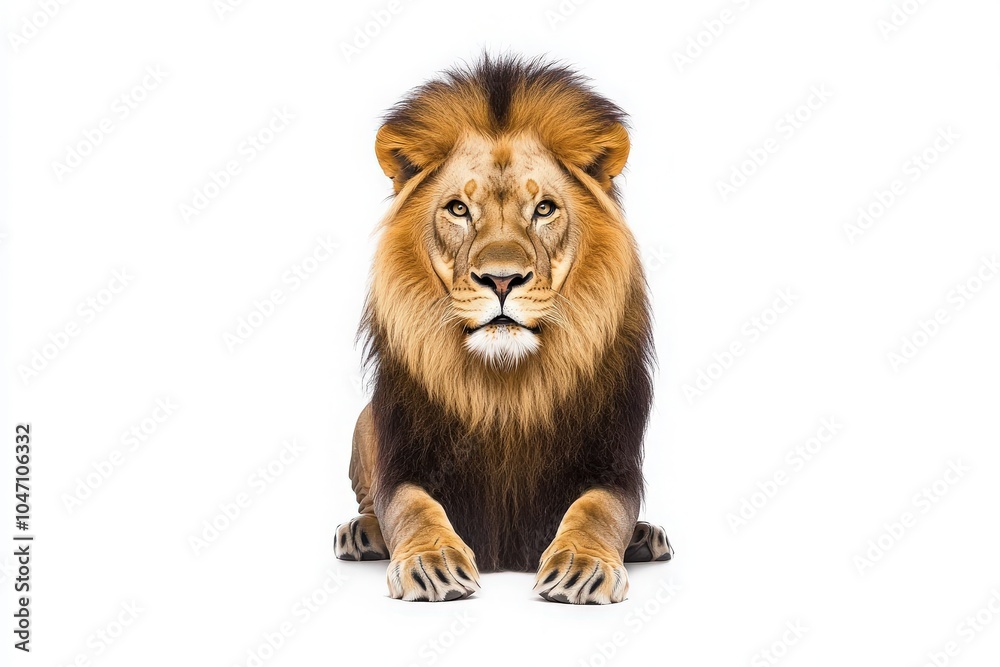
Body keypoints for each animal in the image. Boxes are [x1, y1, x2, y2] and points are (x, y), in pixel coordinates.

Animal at [334, 55, 673, 604]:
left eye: (544, 208)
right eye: (458, 208)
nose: (501, 279)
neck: (505, 389)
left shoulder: (611, 462)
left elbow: (598, 509)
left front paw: (582, 564)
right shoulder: (405, 459)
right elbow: (409, 505)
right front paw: (432, 560)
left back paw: (645, 537)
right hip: (365, 423)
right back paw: (362, 533)